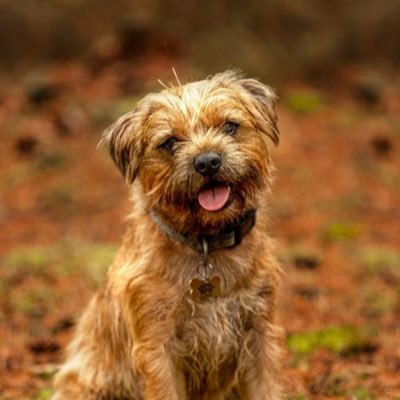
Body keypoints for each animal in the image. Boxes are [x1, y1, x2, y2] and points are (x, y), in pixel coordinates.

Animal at [53, 70, 282, 398]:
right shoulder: (158, 347)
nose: (207, 161)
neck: (205, 244)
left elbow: (267, 388)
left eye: (230, 126)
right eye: (170, 142)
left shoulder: (260, 333)